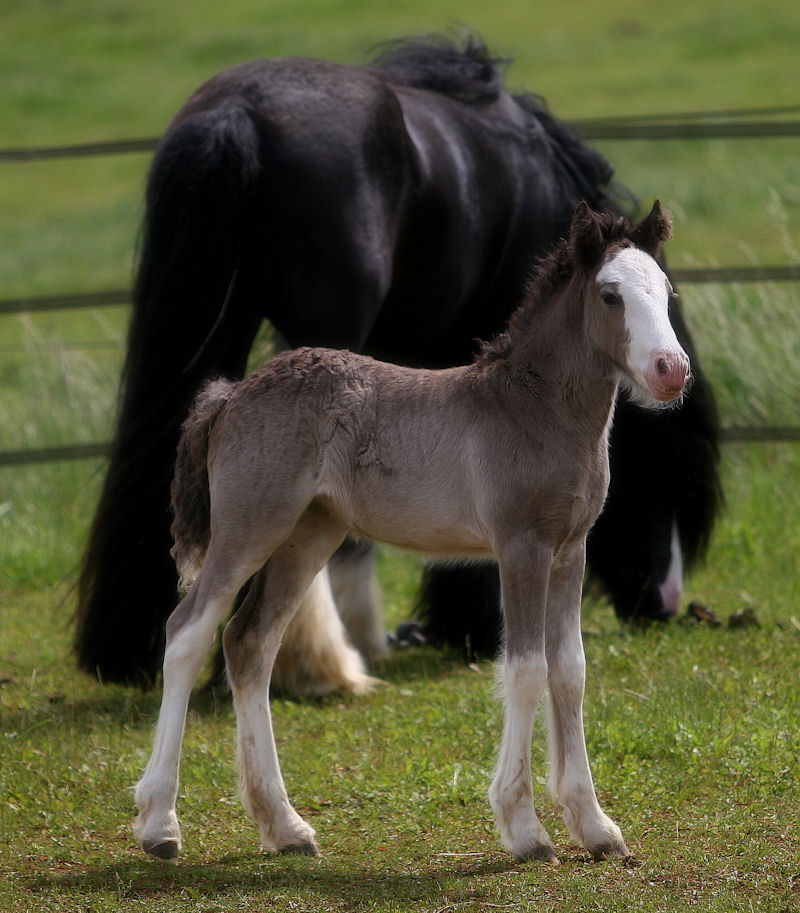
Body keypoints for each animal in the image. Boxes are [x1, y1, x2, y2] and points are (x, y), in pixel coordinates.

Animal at [75, 33, 720, 684]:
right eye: (667, 478)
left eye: (666, 294)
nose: (664, 603)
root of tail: (238, 114)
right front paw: (467, 623)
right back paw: (327, 664)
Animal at [131, 200, 688, 864]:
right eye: (610, 296)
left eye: (667, 291)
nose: (672, 370)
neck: (535, 411)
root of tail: (234, 391)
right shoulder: (521, 547)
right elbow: (527, 671)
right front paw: (525, 829)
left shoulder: (569, 549)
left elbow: (570, 671)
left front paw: (596, 827)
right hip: (248, 527)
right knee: (188, 632)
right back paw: (159, 824)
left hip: (308, 534)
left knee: (249, 642)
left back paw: (284, 826)